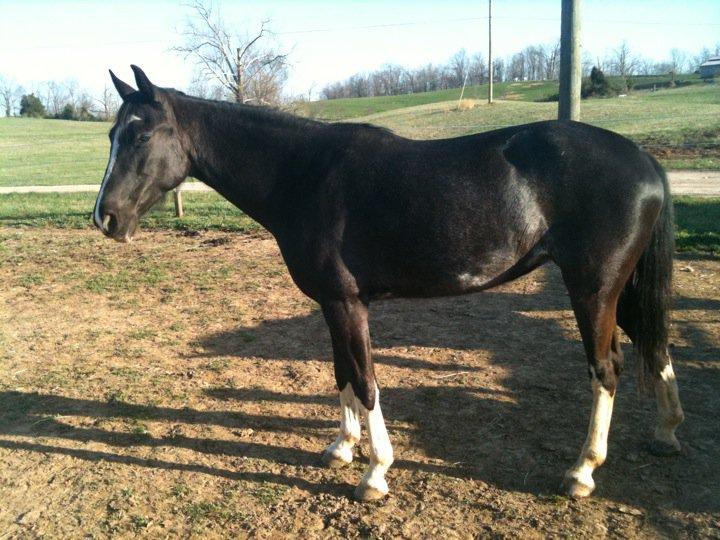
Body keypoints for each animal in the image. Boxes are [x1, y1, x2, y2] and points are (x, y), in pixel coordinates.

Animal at [93, 65, 684, 501]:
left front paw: (375, 473)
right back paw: (667, 433)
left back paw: (583, 472)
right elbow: (342, 374)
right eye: (111, 135)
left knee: (606, 368)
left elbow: (367, 380)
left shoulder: (348, 303)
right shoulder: (332, 303)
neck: (305, 174)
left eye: (141, 134)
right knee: (655, 345)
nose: (105, 218)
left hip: (593, 290)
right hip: (620, 290)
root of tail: (645, 161)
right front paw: (341, 447)